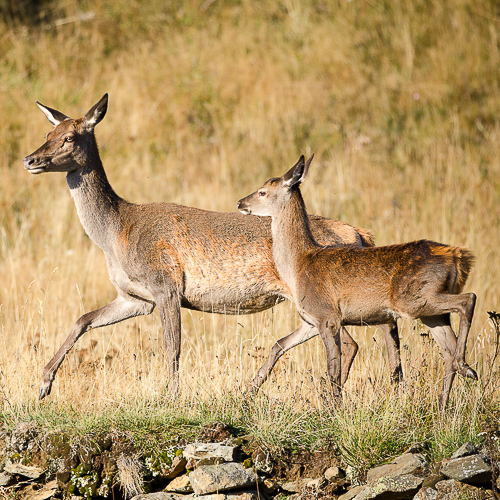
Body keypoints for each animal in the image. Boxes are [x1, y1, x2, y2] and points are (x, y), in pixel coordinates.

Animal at [22, 94, 402, 398]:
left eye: (69, 137)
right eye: (47, 134)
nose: (30, 160)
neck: (115, 233)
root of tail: (359, 233)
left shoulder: (165, 284)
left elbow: (172, 348)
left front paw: (170, 398)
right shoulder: (135, 297)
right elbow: (82, 319)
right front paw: (43, 384)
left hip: (319, 298)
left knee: (353, 342)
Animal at [237, 155, 476, 406]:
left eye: (262, 192)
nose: (240, 203)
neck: (298, 265)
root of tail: (457, 256)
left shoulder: (328, 316)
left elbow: (333, 368)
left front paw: (333, 408)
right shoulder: (311, 319)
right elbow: (279, 344)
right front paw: (247, 393)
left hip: (413, 299)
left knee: (468, 300)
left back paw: (465, 368)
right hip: (429, 312)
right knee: (447, 348)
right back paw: (444, 403)